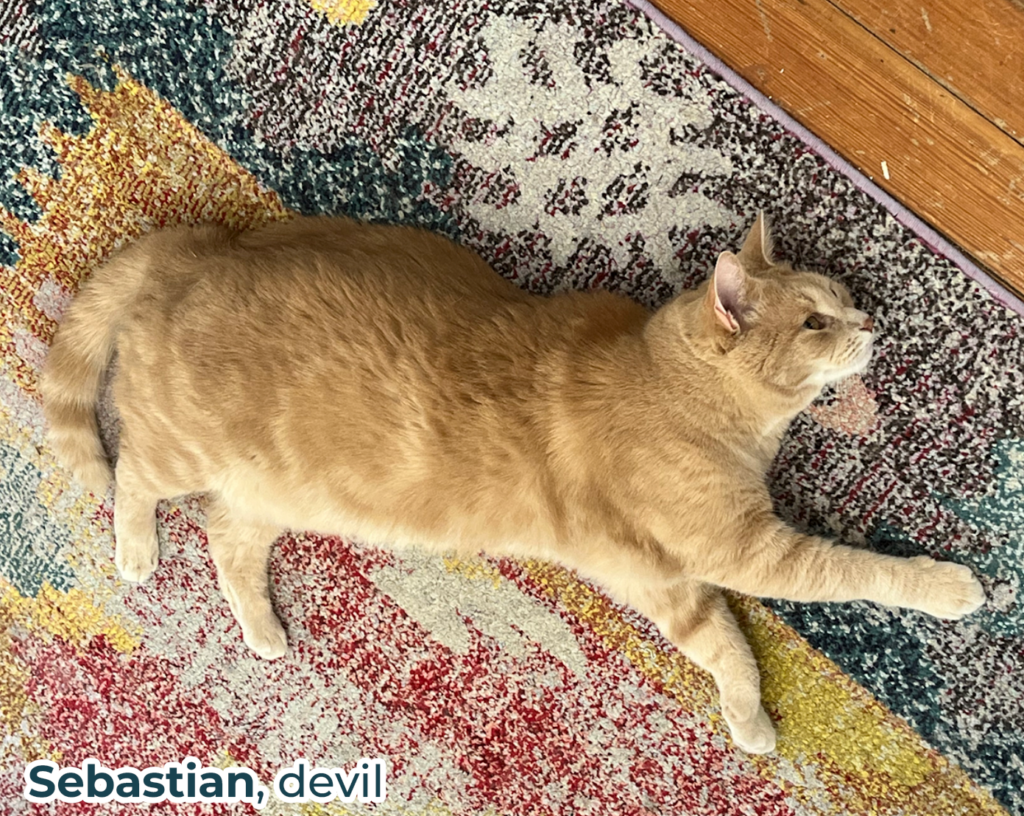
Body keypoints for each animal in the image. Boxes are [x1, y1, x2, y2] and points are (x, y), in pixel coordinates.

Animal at [39, 215, 983, 749]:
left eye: (841, 299)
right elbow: (854, 571)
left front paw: (748, 723)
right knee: (133, 474)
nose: (870, 323)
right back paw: (134, 549)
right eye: (816, 321)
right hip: (183, 453)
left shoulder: (670, 584)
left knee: (227, 539)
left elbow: (727, 650)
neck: (673, 388)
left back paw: (266, 631)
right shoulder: (744, 552)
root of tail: (194, 250)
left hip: (271, 495)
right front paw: (948, 588)